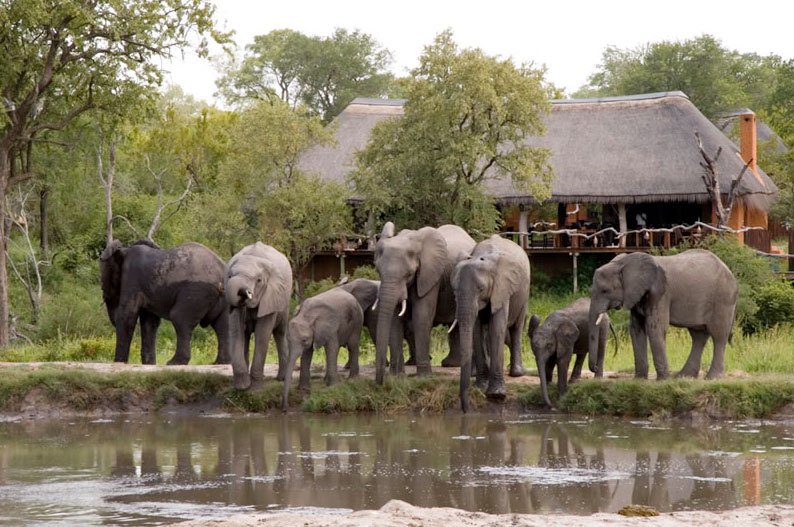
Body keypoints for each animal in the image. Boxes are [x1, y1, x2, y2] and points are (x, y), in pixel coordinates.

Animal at [99, 240, 229, 368]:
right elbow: (150, 322)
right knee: (223, 326)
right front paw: (149, 364)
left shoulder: (132, 278)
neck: (124, 250)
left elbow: (127, 315)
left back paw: (173, 363)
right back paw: (220, 363)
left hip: (196, 292)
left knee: (180, 319)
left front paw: (119, 363)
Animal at [224, 241, 292, 390]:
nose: (245, 292)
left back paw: (281, 379)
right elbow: (237, 330)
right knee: (245, 335)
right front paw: (242, 387)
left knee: (280, 333)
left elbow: (262, 334)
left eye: (259, 280)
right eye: (229, 276)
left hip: (284, 303)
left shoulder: (271, 295)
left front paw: (255, 389)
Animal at [370, 221, 470, 386]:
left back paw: (452, 364)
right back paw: (450, 364)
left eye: (409, 274)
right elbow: (395, 320)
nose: (379, 382)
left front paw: (424, 377)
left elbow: (421, 317)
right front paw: (396, 376)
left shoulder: (430, 276)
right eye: (378, 271)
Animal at [588, 250, 736, 382]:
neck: (622, 263)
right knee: (698, 336)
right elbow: (636, 329)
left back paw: (713, 378)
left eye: (605, 290)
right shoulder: (637, 295)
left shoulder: (659, 292)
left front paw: (663, 380)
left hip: (723, 298)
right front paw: (639, 379)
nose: (595, 368)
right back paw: (684, 376)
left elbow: (655, 328)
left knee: (718, 335)